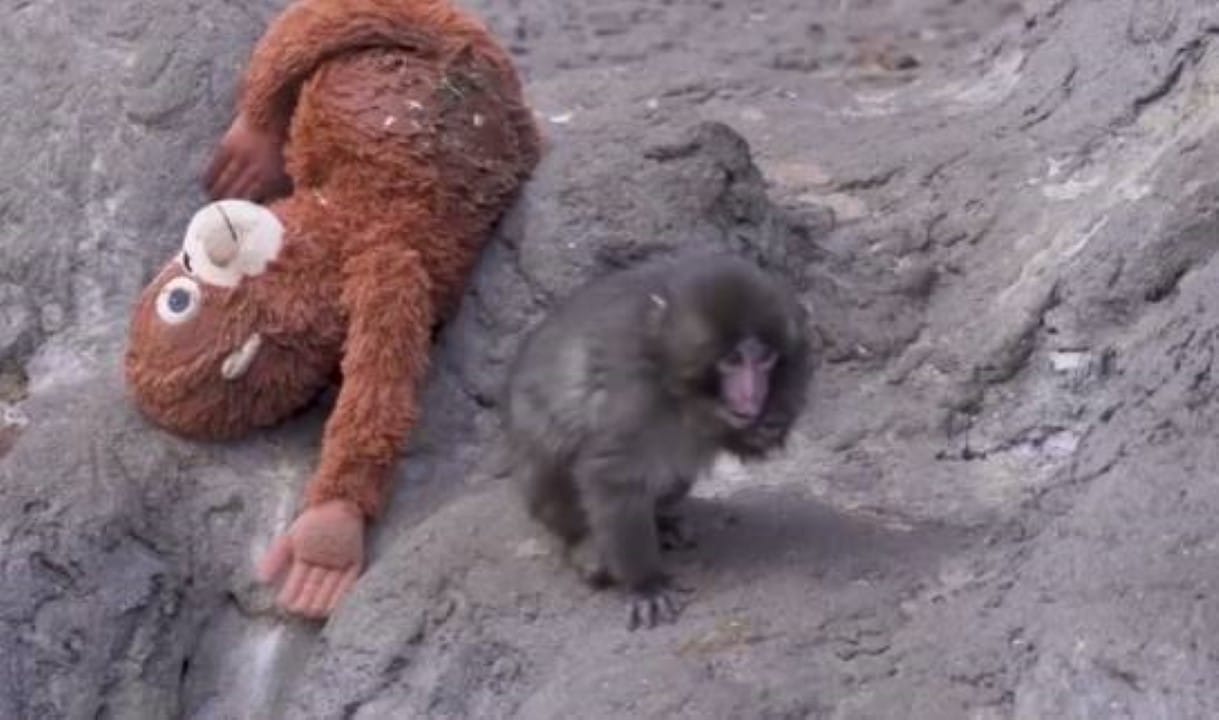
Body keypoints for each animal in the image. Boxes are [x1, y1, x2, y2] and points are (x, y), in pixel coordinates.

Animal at [503, 252, 813, 629]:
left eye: (765, 358)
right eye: (733, 360)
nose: (752, 395)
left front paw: (769, 422)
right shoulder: (633, 391)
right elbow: (612, 475)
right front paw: (645, 584)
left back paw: (661, 519)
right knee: (555, 443)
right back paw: (583, 543)